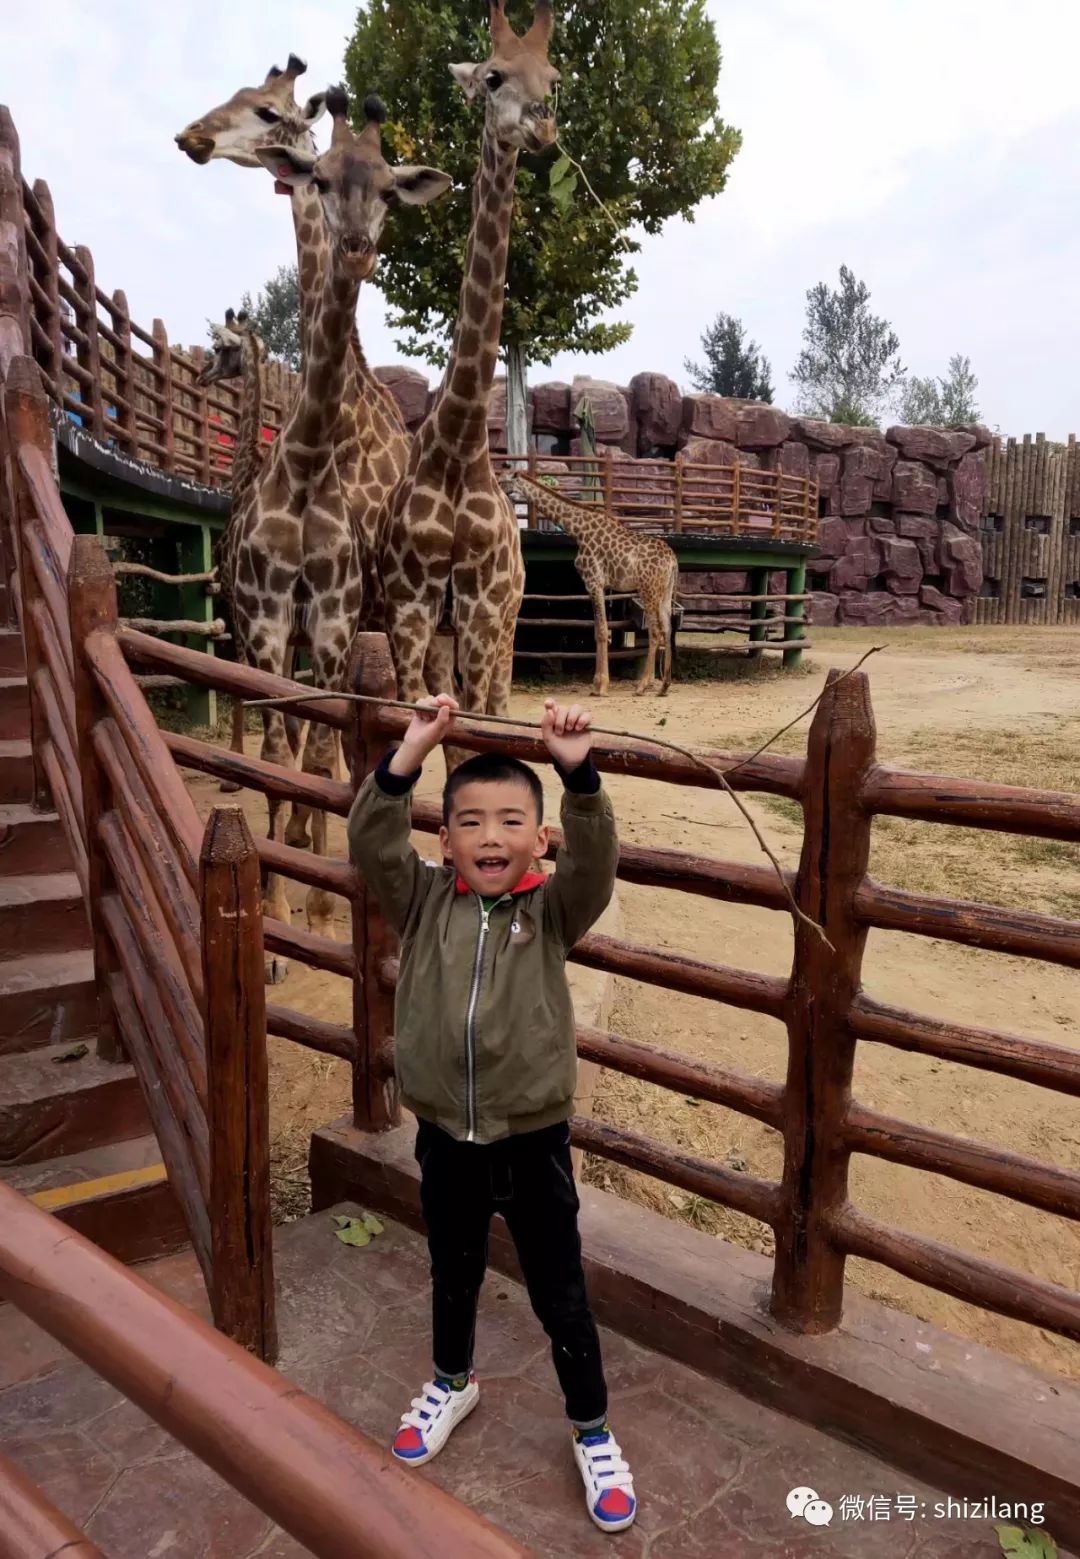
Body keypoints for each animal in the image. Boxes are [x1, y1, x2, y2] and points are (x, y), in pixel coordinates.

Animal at [225, 88, 448, 972]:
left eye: (387, 188)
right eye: (317, 174)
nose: (354, 248)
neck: (311, 457)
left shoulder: (330, 619)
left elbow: (320, 750)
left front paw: (322, 904)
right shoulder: (266, 620)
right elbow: (286, 748)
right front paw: (279, 912)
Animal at [375, 0, 561, 717]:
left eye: (554, 77)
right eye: (492, 76)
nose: (542, 125)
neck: (457, 443)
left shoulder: (483, 609)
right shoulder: (411, 606)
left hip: (506, 622)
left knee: (499, 702)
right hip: (444, 629)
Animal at [501, 470, 679, 698]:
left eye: (504, 479)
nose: (497, 489)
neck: (578, 529)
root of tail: (672, 561)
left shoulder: (594, 581)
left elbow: (601, 631)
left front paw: (600, 685)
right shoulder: (599, 585)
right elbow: (599, 630)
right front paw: (600, 683)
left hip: (649, 590)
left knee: (655, 631)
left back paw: (642, 685)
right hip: (664, 593)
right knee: (668, 628)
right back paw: (664, 686)